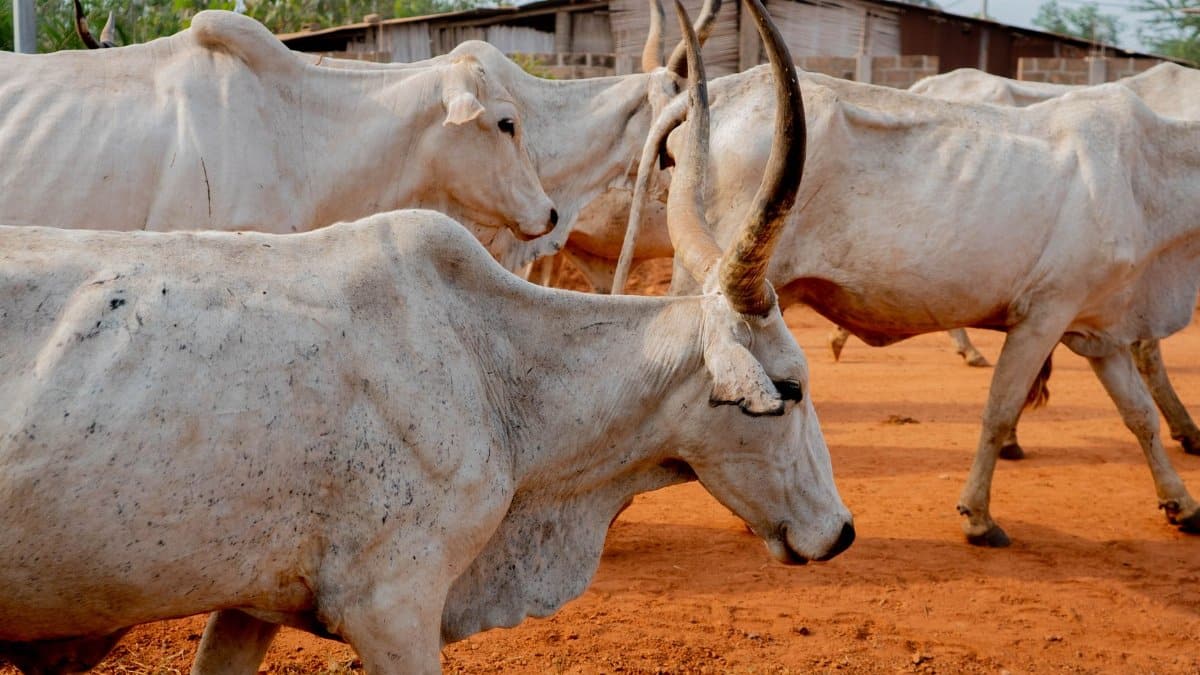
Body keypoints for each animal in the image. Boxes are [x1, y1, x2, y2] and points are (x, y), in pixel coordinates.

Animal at [621, 43, 1200, 548]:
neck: (1148, 173)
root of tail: (719, 91)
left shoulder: (1098, 330)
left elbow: (1140, 417)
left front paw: (1182, 504)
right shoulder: (1042, 315)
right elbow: (1000, 411)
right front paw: (978, 517)